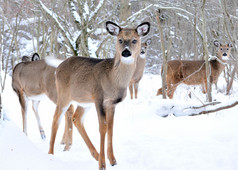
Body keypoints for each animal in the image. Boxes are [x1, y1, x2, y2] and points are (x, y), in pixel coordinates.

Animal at [47, 21, 150, 170]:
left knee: (76, 118)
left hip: (84, 101)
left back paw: (95, 154)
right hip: (64, 95)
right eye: (120, 40)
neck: (113, 79)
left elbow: (111, 128)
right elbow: (103, 127)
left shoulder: (112, 103)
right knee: (56, 118)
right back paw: (50, 154)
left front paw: (113, 160)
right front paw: (102, 164)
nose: (125, 52)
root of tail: (58, 68)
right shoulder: (99, 98)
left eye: (134, 40)